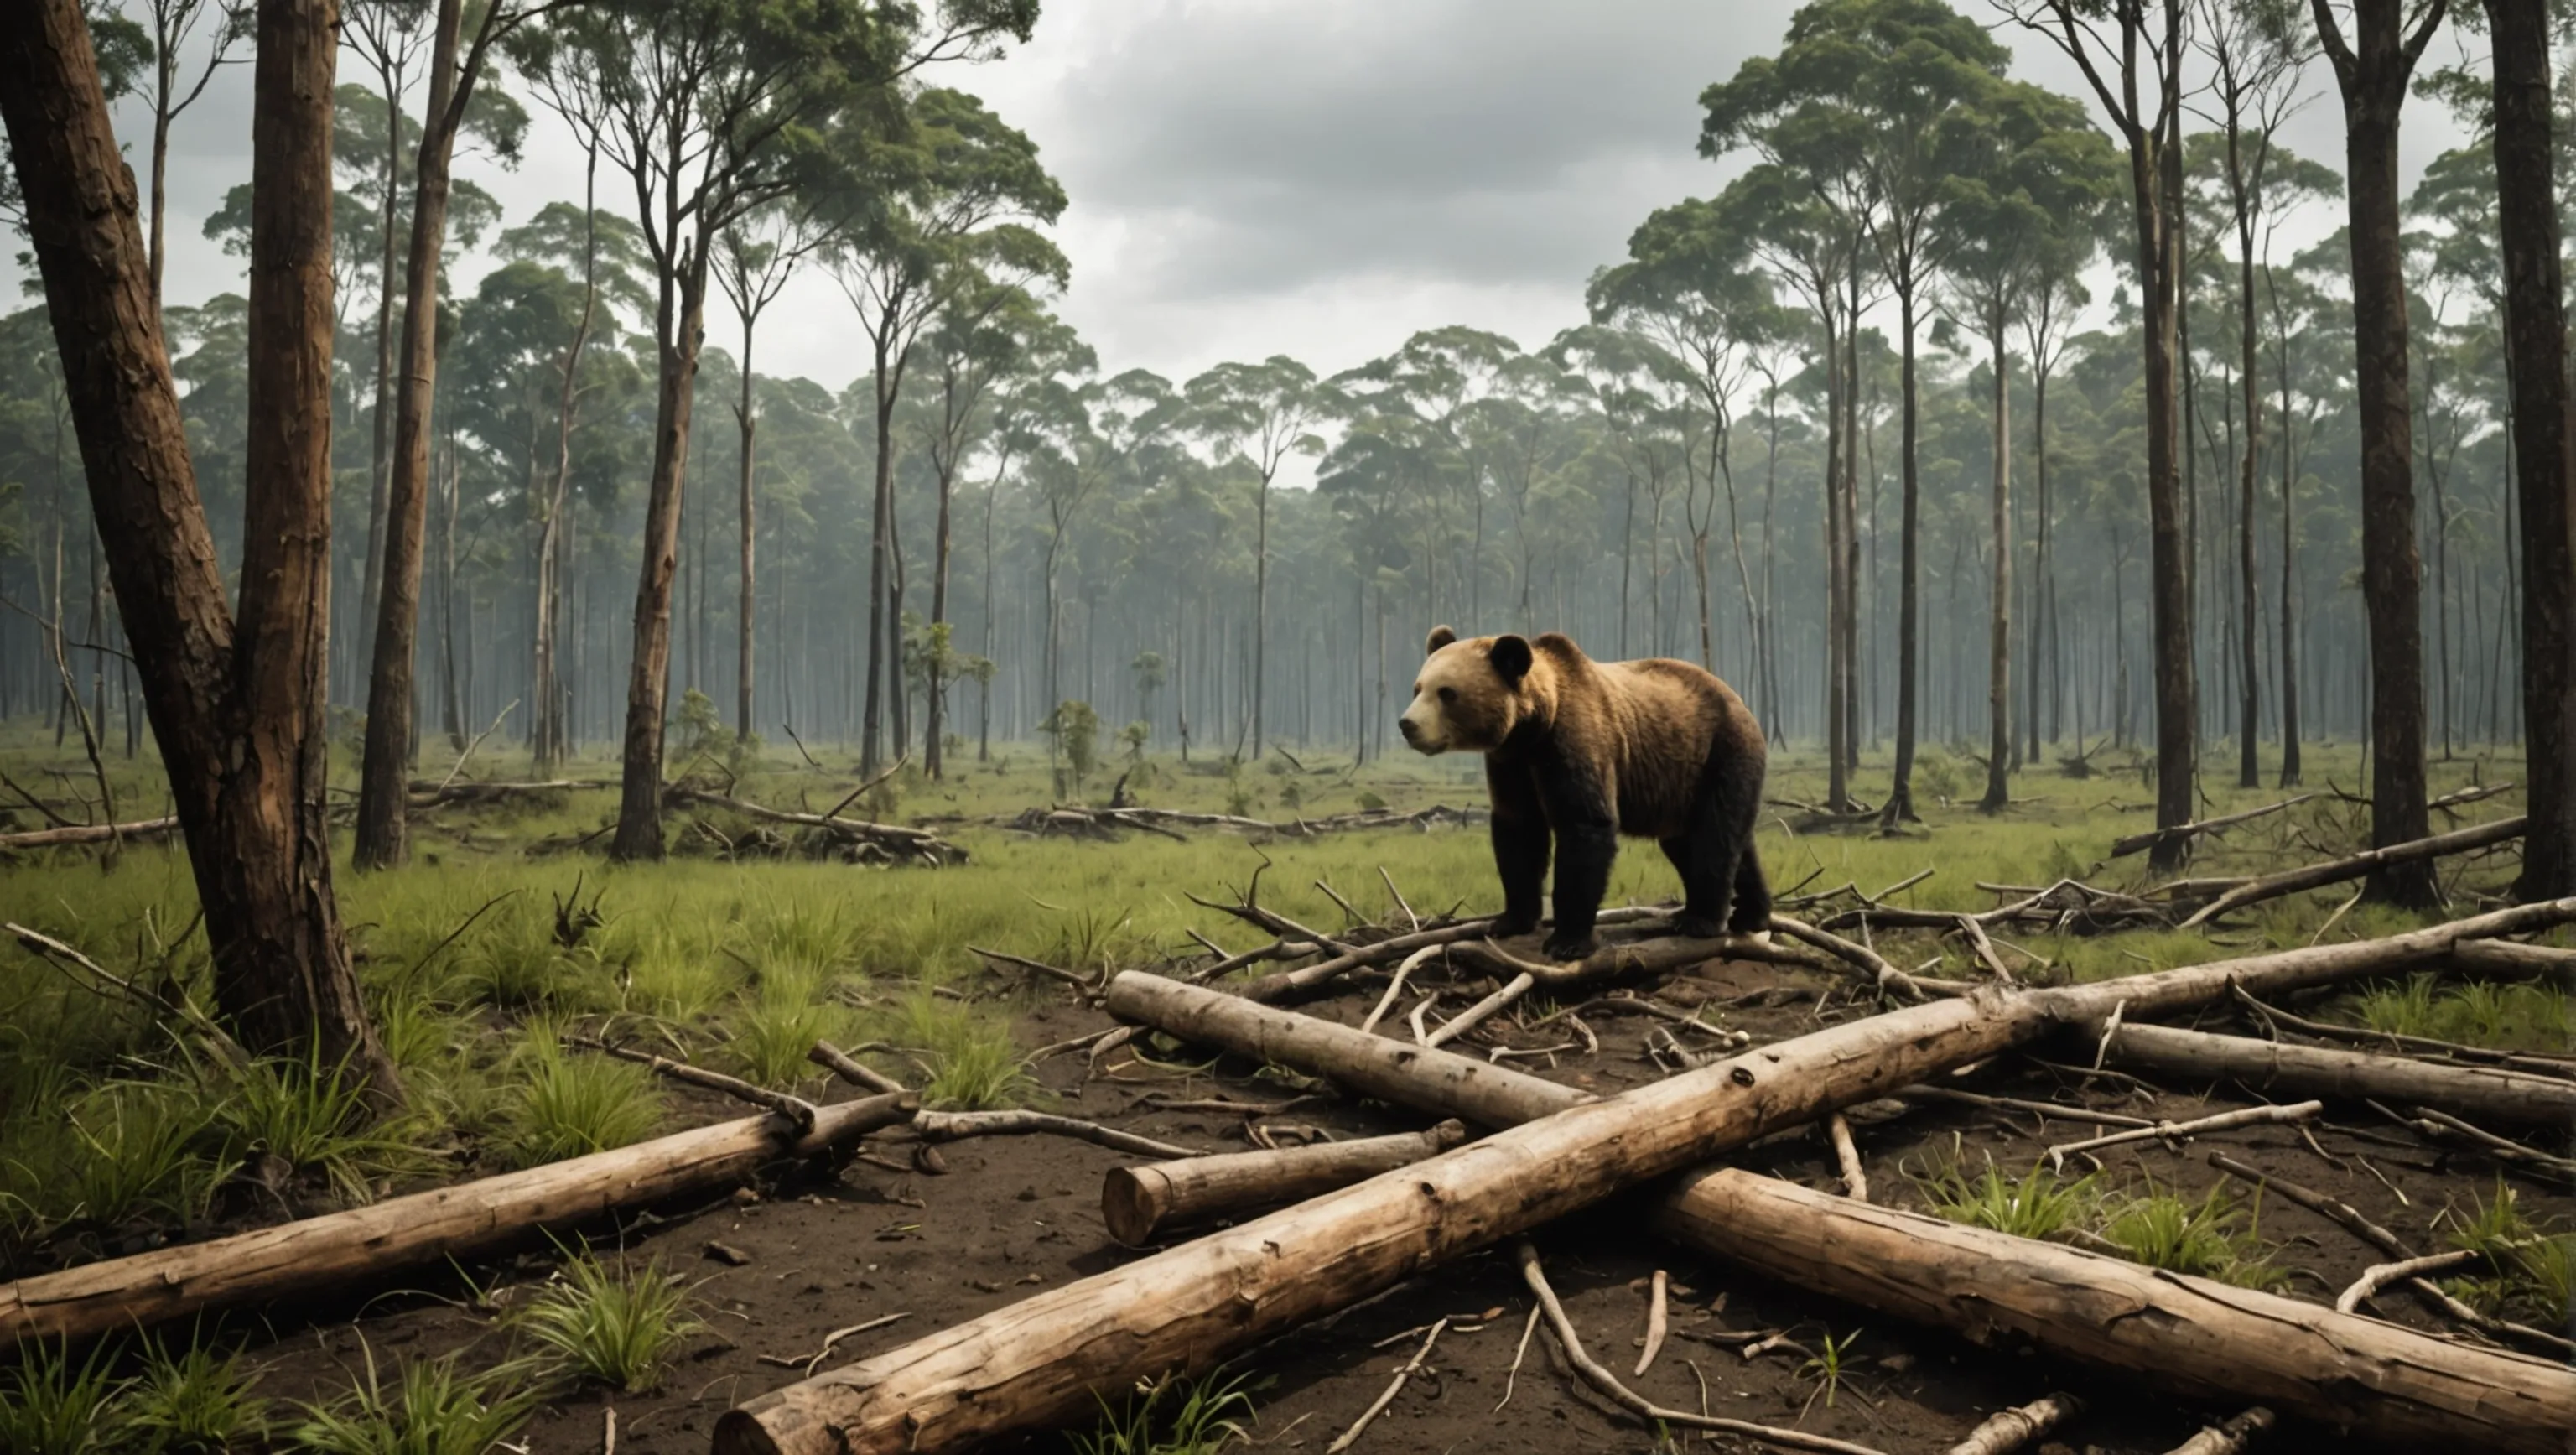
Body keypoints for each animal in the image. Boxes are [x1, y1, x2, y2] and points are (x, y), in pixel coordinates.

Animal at [1401, 621, 1762, 953]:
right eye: (1418, 688)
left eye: (1447, 693)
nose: (1408, 725)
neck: (1532, 727)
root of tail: (1742, 703)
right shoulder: (1511, 763)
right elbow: (1518, 829)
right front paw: (1510, 920)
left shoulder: (1574, 738)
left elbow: (1584, 824)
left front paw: (1568, 940)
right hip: (1682, 783)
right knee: (1699, 841)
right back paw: (1749, 914)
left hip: (1719, 751)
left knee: (1714, 836)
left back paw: (1702, 920)